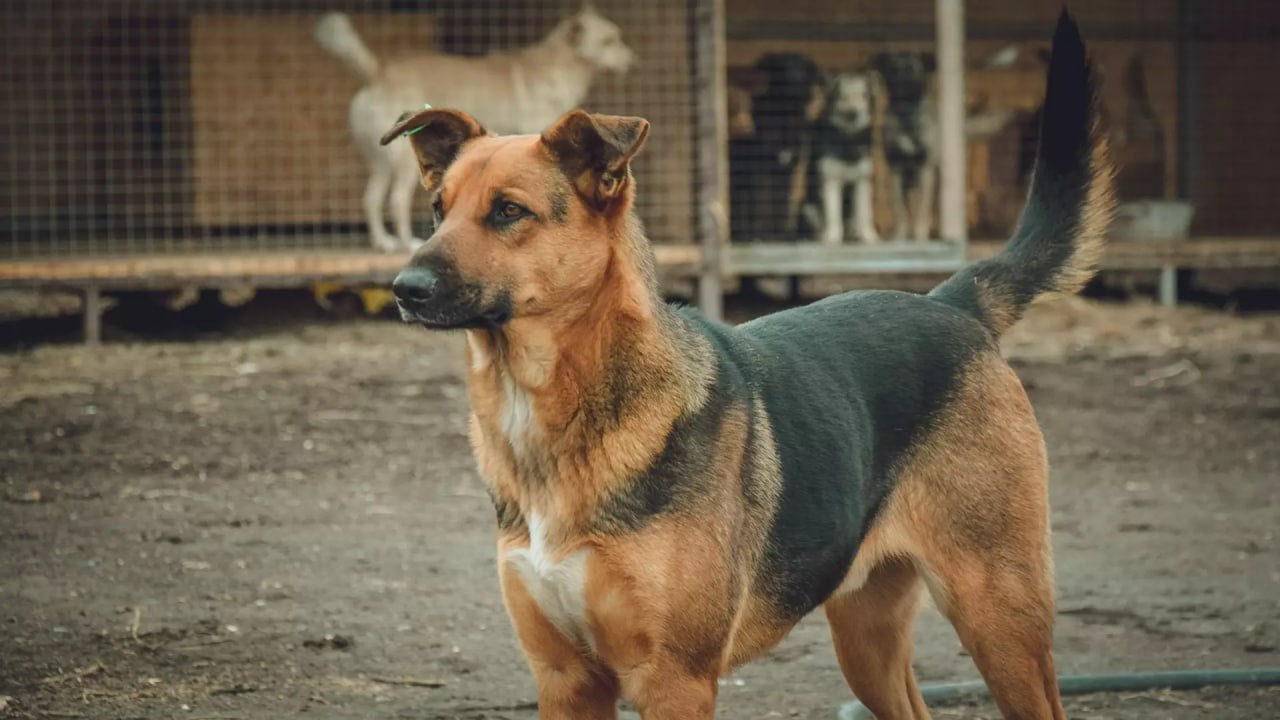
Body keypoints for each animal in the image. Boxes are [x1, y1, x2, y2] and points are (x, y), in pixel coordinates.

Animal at [314, 4, 634, 249]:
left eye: (618, 38)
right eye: (608, 41)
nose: (634, 62)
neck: (561, 64)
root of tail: (378, 74)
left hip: (381, 162)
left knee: (370, 199)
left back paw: (383, 243)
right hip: (404, 164)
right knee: (396, 200)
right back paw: (406, 243)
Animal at [808, 72, 880, 244]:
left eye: (864, 96)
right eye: (843, 97)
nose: (854, 114)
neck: (848, 139)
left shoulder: (862, 181)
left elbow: (865, 214)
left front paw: (869, 236)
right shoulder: (831, 180)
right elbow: (833, 213)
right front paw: (833, 237)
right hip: (808, 207)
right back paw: (821, 236)